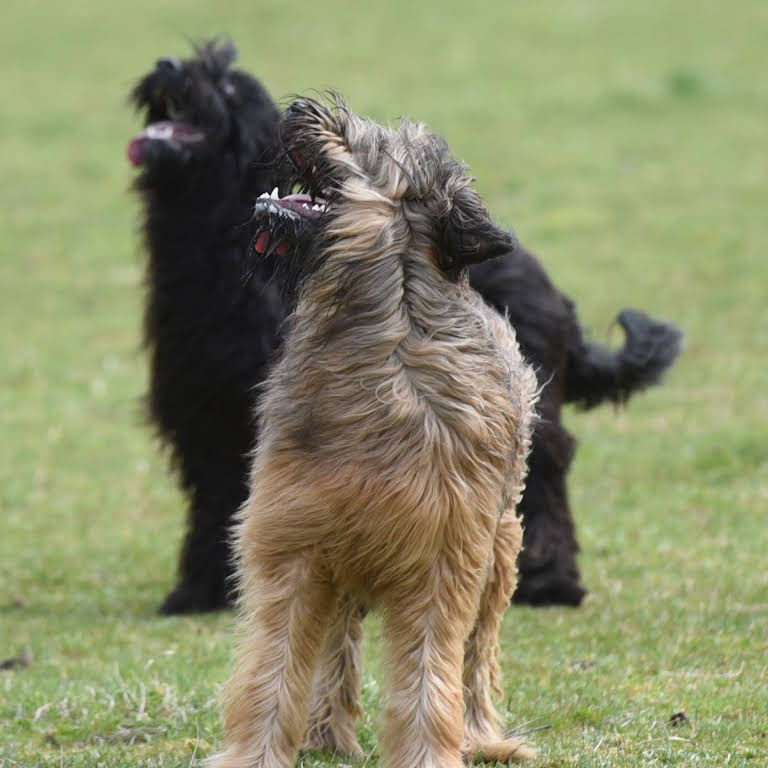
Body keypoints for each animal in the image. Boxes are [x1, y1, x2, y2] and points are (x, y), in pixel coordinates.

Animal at [129, 43, 680, 616]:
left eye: (228, 85)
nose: (167, 65)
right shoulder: (203, 411)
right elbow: (212, 503)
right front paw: (200, 590)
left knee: (545, 483)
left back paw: (550, 582)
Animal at [207, 96, 536, 768]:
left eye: (372, 141)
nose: (295, 108)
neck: (388, 324)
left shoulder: (445, 559)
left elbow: (431, 680)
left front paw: (433, 752)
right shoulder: (294, 543)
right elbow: (272, 670)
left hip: (498, 551)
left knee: (475, 658)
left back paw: (482, 736)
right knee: (339, 643)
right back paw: (326, 731)